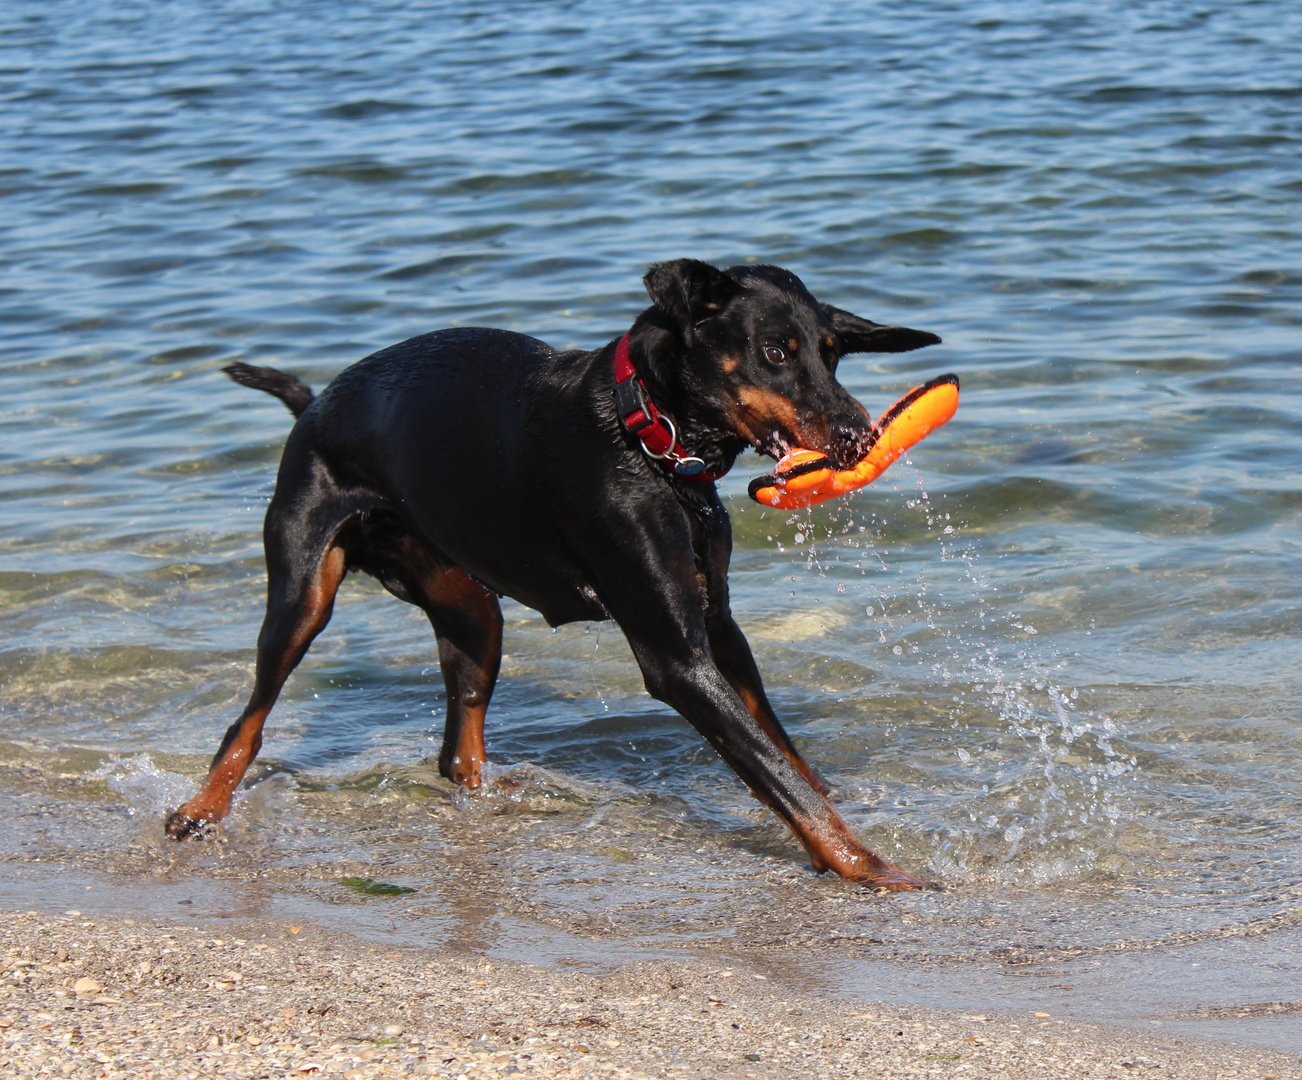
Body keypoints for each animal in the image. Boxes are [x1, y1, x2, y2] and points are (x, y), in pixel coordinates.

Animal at [170, 256, 947, 891]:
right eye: (775, 351)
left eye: (833, 354)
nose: (859, 436)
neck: (654, 443)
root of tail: (315, 406)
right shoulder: (676, 658)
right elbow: (777, 775)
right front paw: (866, 865)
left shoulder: (718, 627)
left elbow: (783, 748)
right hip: (303, 591)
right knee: (250, 717)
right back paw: (199, 809)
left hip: (471, 609)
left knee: (457, 748)